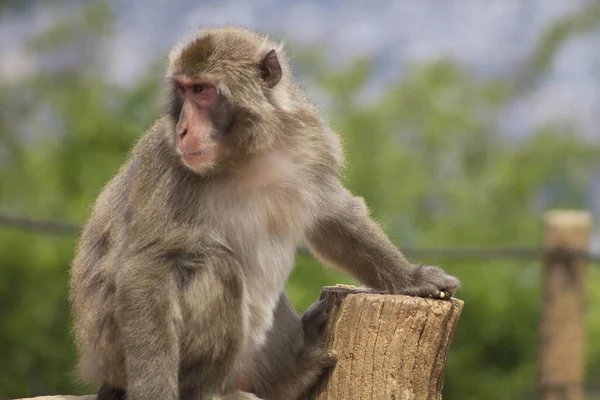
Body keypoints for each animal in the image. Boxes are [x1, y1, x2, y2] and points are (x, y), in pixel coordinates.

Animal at [70, 25, 460, 400]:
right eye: (182, 90)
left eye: (201, 89)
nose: (182, 129)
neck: (247, 154)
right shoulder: (169, 164)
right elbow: (148, 265)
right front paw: (156, 392)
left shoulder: (310, 145)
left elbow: (334, 217)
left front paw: (412, 278)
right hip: (116, 353)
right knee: (218, 266)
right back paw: (209, 391)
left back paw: (290, 377)